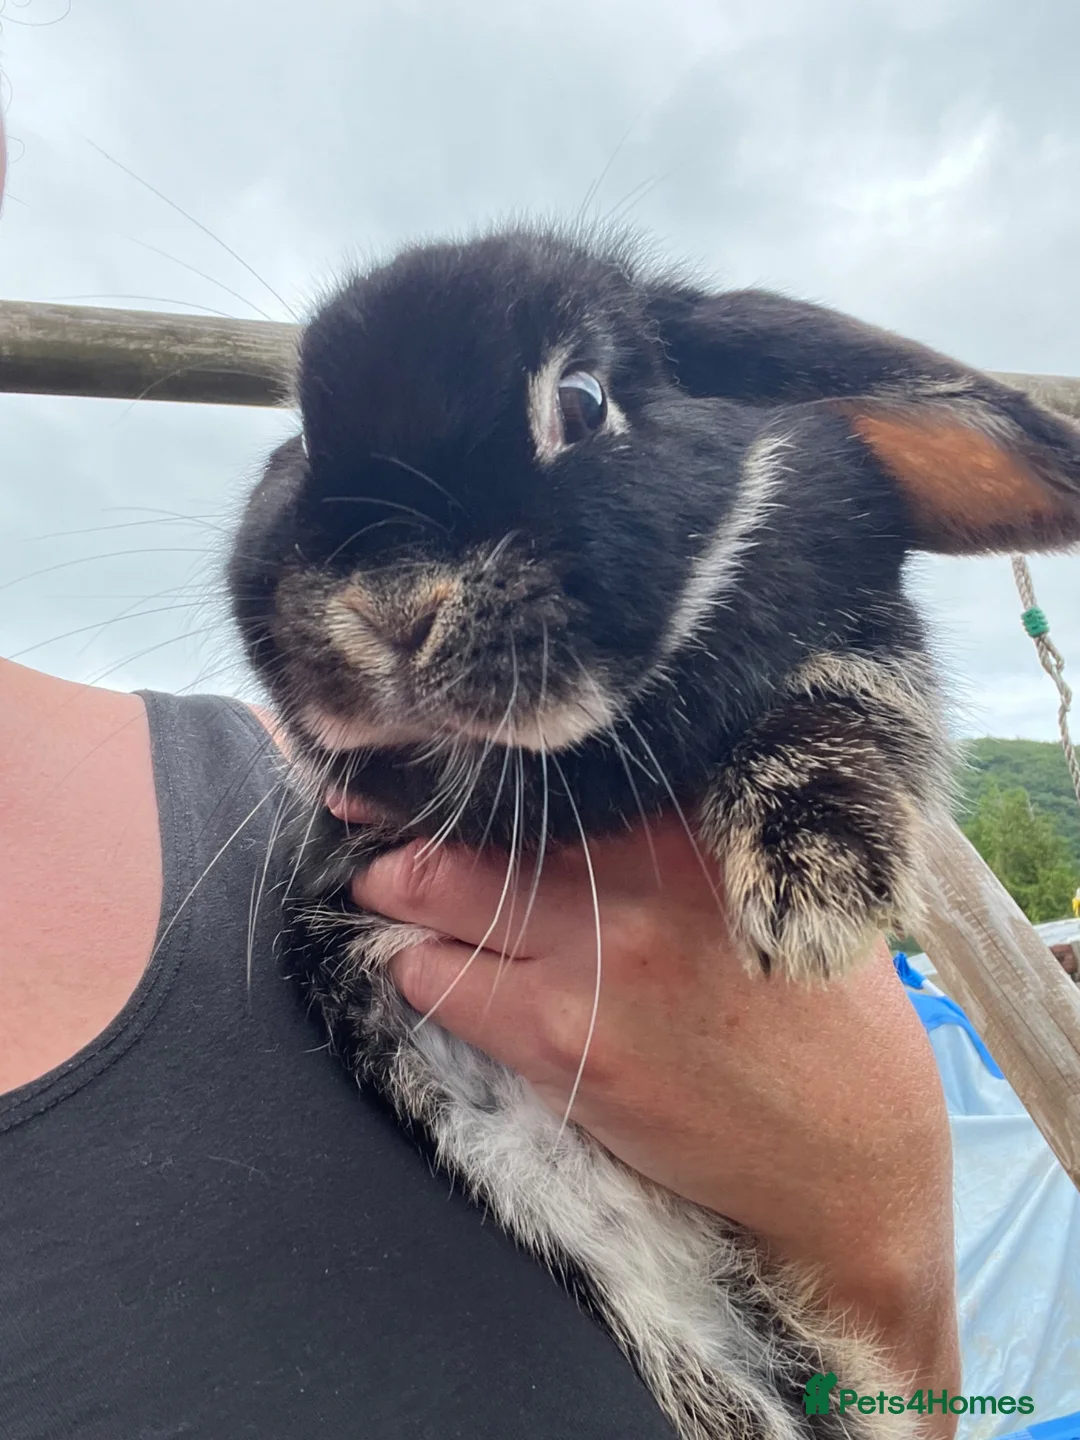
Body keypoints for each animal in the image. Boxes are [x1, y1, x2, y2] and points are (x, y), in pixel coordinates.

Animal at [228, 222, 1080, 1440]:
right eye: (302, 438)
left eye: (582, 401)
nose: (390, 606)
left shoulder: (855, 622)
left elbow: (842, 708)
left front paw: (816, 896)